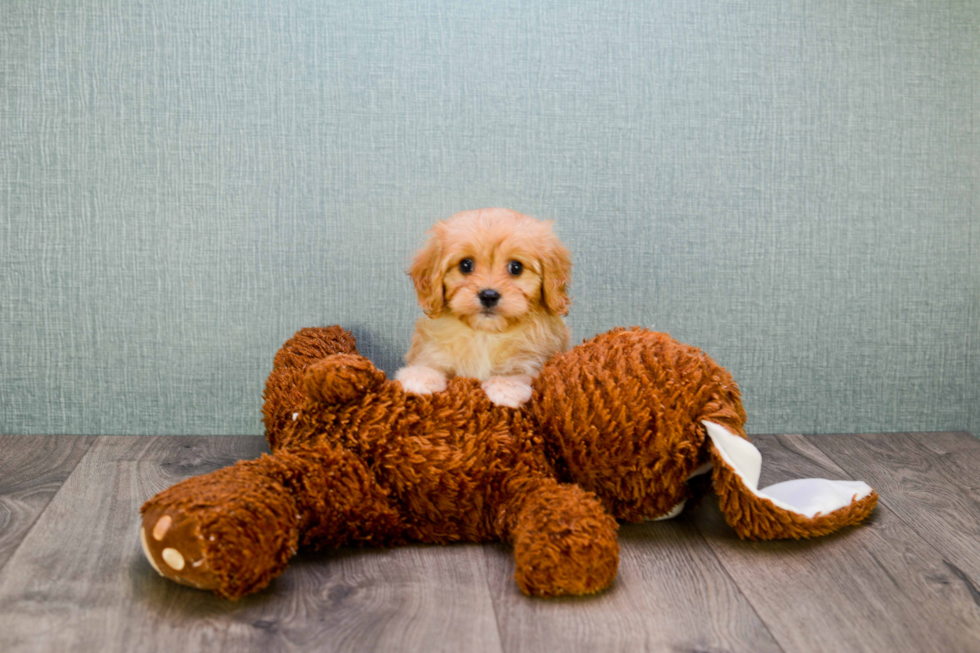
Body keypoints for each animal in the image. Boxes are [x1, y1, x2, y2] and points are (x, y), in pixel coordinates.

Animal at [394, 208, 572, 408]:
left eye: (516, 267)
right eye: (465, 265)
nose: (489, 295)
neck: (485, 335)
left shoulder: (534, 362)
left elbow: (520, 374)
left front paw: (506, 388)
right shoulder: (430, 350)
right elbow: (428, 362)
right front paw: (419, 376)